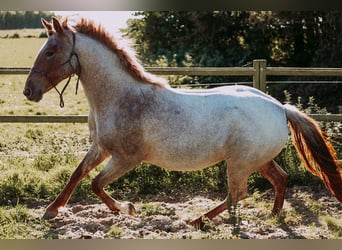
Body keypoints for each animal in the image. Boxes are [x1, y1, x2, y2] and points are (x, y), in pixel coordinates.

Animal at [22, 17, 340, 229]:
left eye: (50, 51)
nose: (28, 91)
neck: (120, 97)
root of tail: (280, 108)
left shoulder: (127, 158)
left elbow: (96, 184)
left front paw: (128, 209)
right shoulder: (100, 148)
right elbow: (77, 175)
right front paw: (51, 210)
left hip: (239, 163)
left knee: (238, 193)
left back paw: (197, 220)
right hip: (257, 160)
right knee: (280, 179)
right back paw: (273, 217)